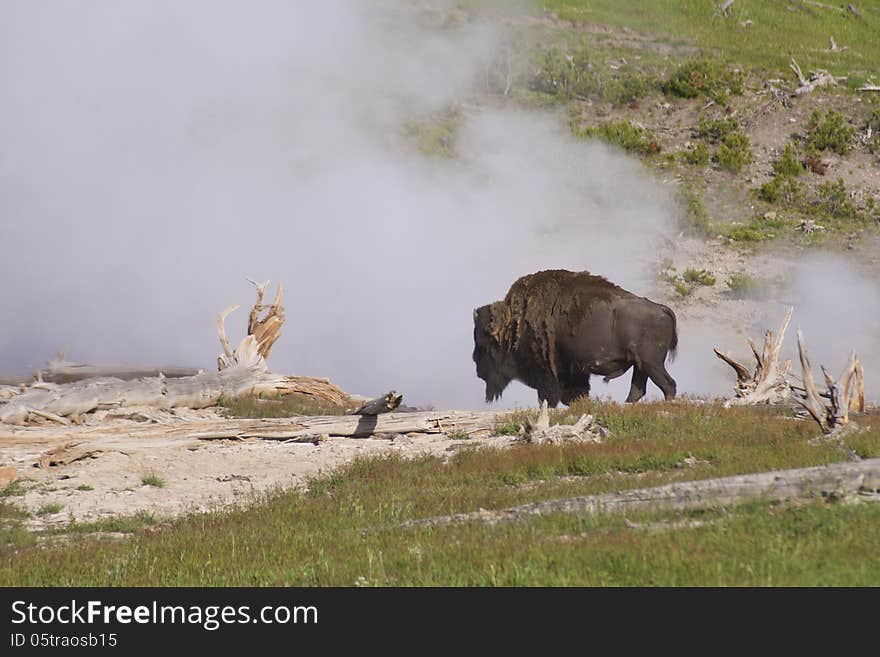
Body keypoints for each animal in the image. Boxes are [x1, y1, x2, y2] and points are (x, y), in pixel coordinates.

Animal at [470, 268, 676, 404]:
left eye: (483, 344)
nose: (478, 370)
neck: (511, 326)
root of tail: (661, 308)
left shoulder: (550, 374)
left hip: (652, 364)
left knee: (668, 384)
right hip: (641, 365)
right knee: (638, 389)